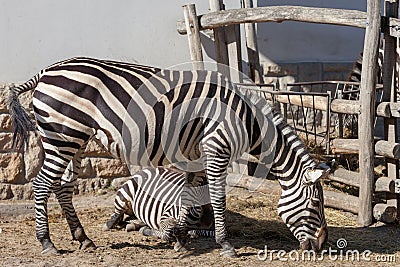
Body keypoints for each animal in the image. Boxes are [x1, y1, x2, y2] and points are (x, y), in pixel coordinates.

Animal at [9, 56, 328, 258]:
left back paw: (83, 239)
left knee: (62, 186)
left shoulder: (197, 153)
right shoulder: (216, 148)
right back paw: (47, 242)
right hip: (62, 135)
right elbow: (217, 198)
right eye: (315, 204)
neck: (246, 119)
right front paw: (225, 244)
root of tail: (46, 71)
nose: (322, 246)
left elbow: (190, 197)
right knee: (41, 184)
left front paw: (180, 238)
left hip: (74, 140)